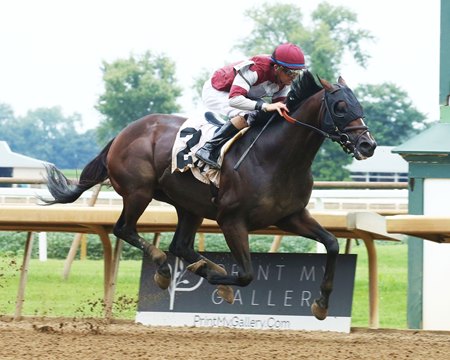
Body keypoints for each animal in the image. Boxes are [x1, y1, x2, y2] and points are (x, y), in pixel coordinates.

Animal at [41, 71, 376, 320]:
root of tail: (124, 133)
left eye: (358, 103)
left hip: (189, 205)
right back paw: (165, 270)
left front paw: (321, 304)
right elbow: (246, 274)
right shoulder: (232, 221)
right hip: (139, 192)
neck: (275, 157)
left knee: (180, 245)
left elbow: (332, 244)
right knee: (125, 229)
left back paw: (197, 267)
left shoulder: (290, 216)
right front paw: (217, 280)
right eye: (340, 106)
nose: (367, 145)